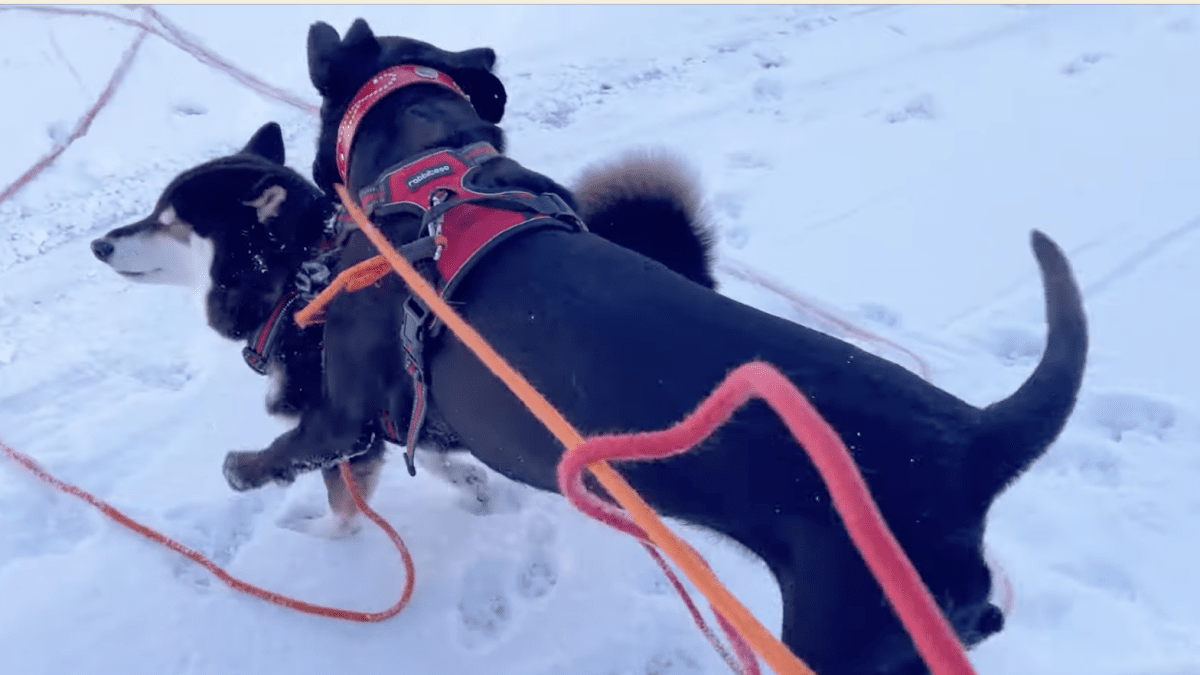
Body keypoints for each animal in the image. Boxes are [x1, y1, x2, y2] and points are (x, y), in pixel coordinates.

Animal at [211, 19, 1094, 672]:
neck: (424, 165)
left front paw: (240, 470)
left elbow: (291, 448)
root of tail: (974, 440)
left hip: (847, 635)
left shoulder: (349, 412)